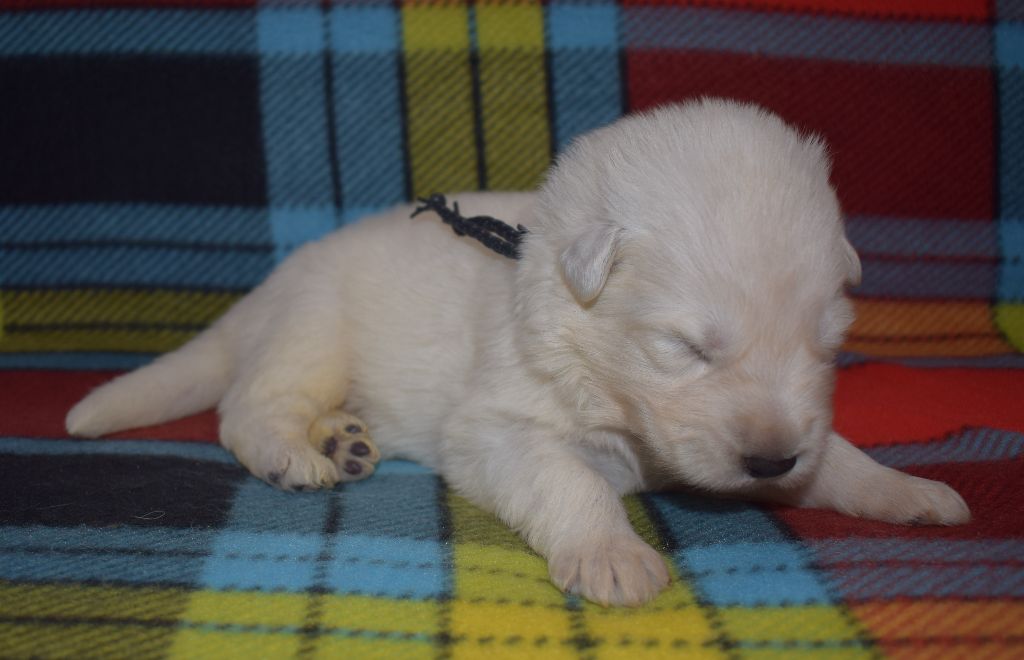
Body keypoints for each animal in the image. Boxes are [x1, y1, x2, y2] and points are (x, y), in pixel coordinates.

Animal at [67, 99, 970, 606]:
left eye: (828, 344)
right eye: (683, 348)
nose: (771, 462)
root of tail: (268, 286)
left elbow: (838, 455)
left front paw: (907, 492)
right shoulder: (496, 425)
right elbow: (571, 479)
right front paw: (614, 556)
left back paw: (343, 437)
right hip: (310, 328)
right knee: (246, 406)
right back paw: (297, 451)